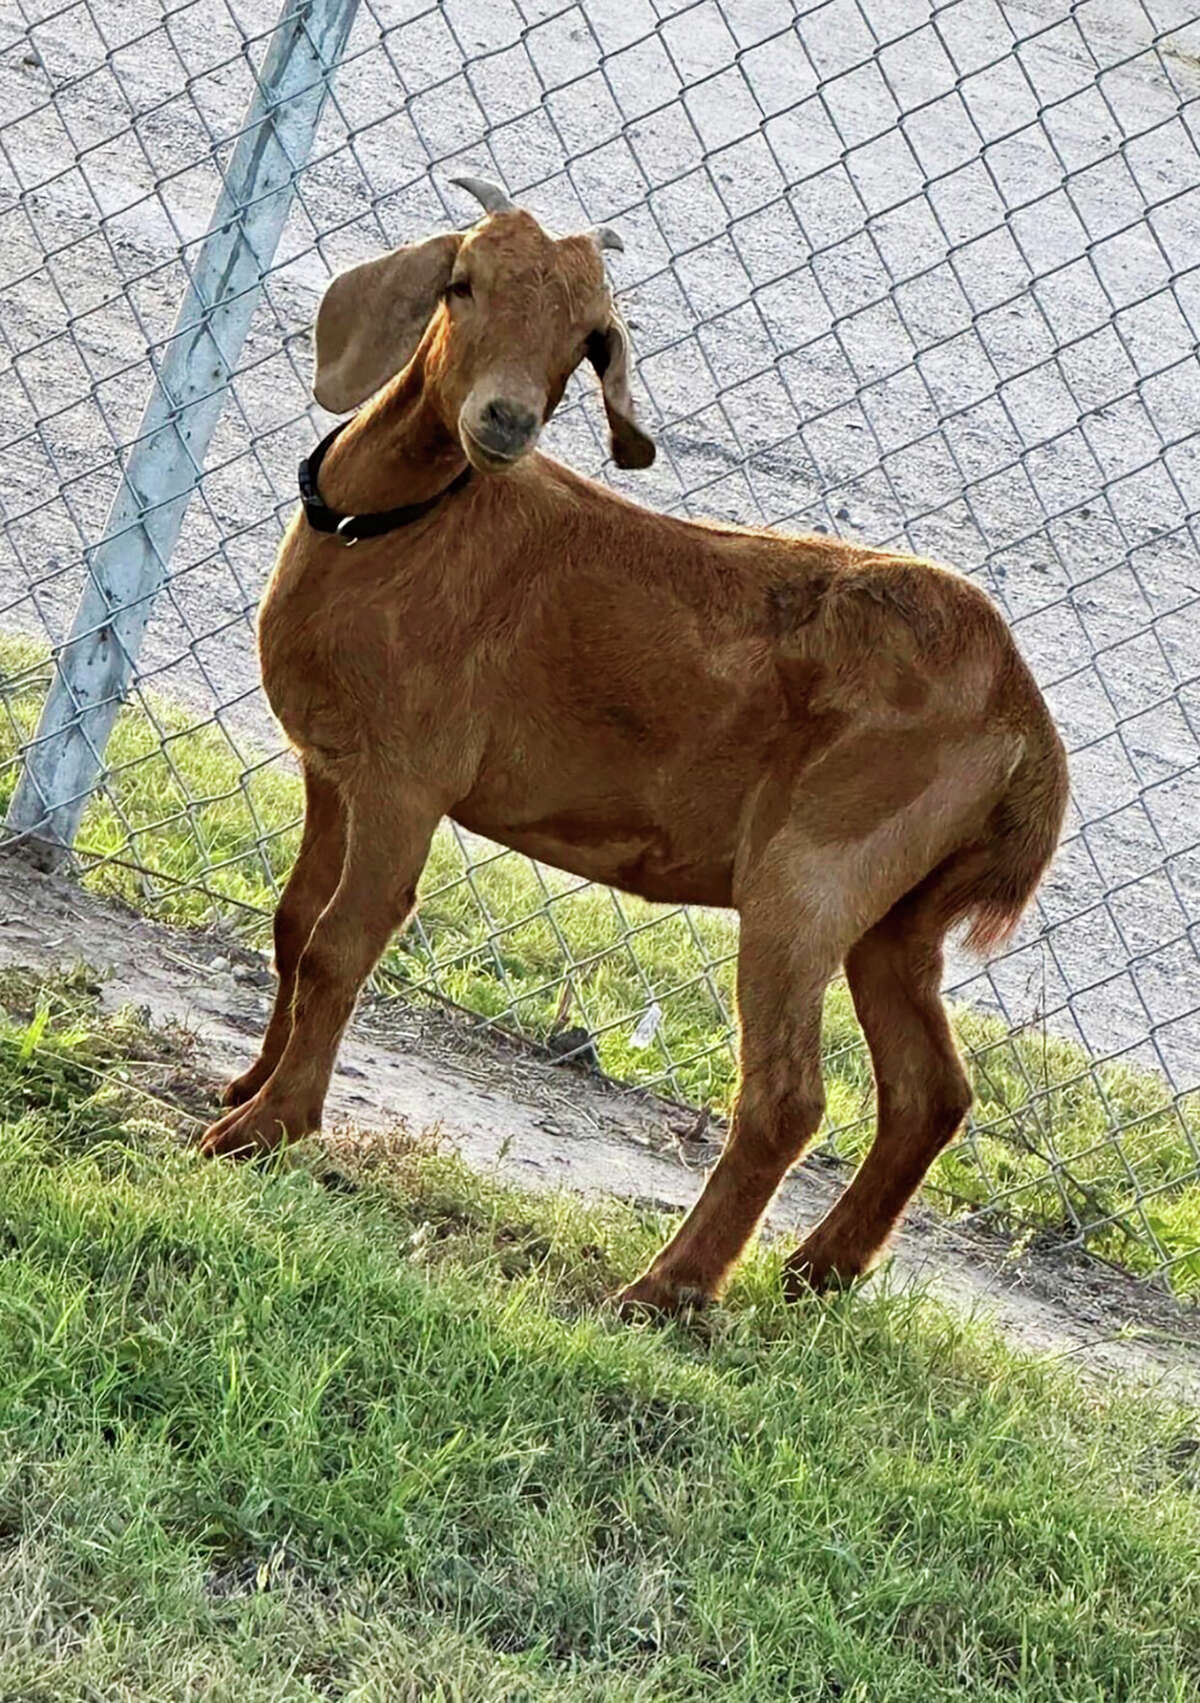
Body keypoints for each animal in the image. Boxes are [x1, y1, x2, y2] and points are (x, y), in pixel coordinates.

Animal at [201, 177, 1069, 1310]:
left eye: (588, 339)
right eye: (462, 281)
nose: (507, 421)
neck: (403, 527)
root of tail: (1023, 716)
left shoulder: (405, 779)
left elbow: (345, 941)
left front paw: (266, 1129)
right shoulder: (331, 769)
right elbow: (295, 922)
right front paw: (246, 1084)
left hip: (811, 872)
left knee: (788, 1096)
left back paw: (669, 1289)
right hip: (899, 913)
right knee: (931, 1090)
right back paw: (816, 1272)